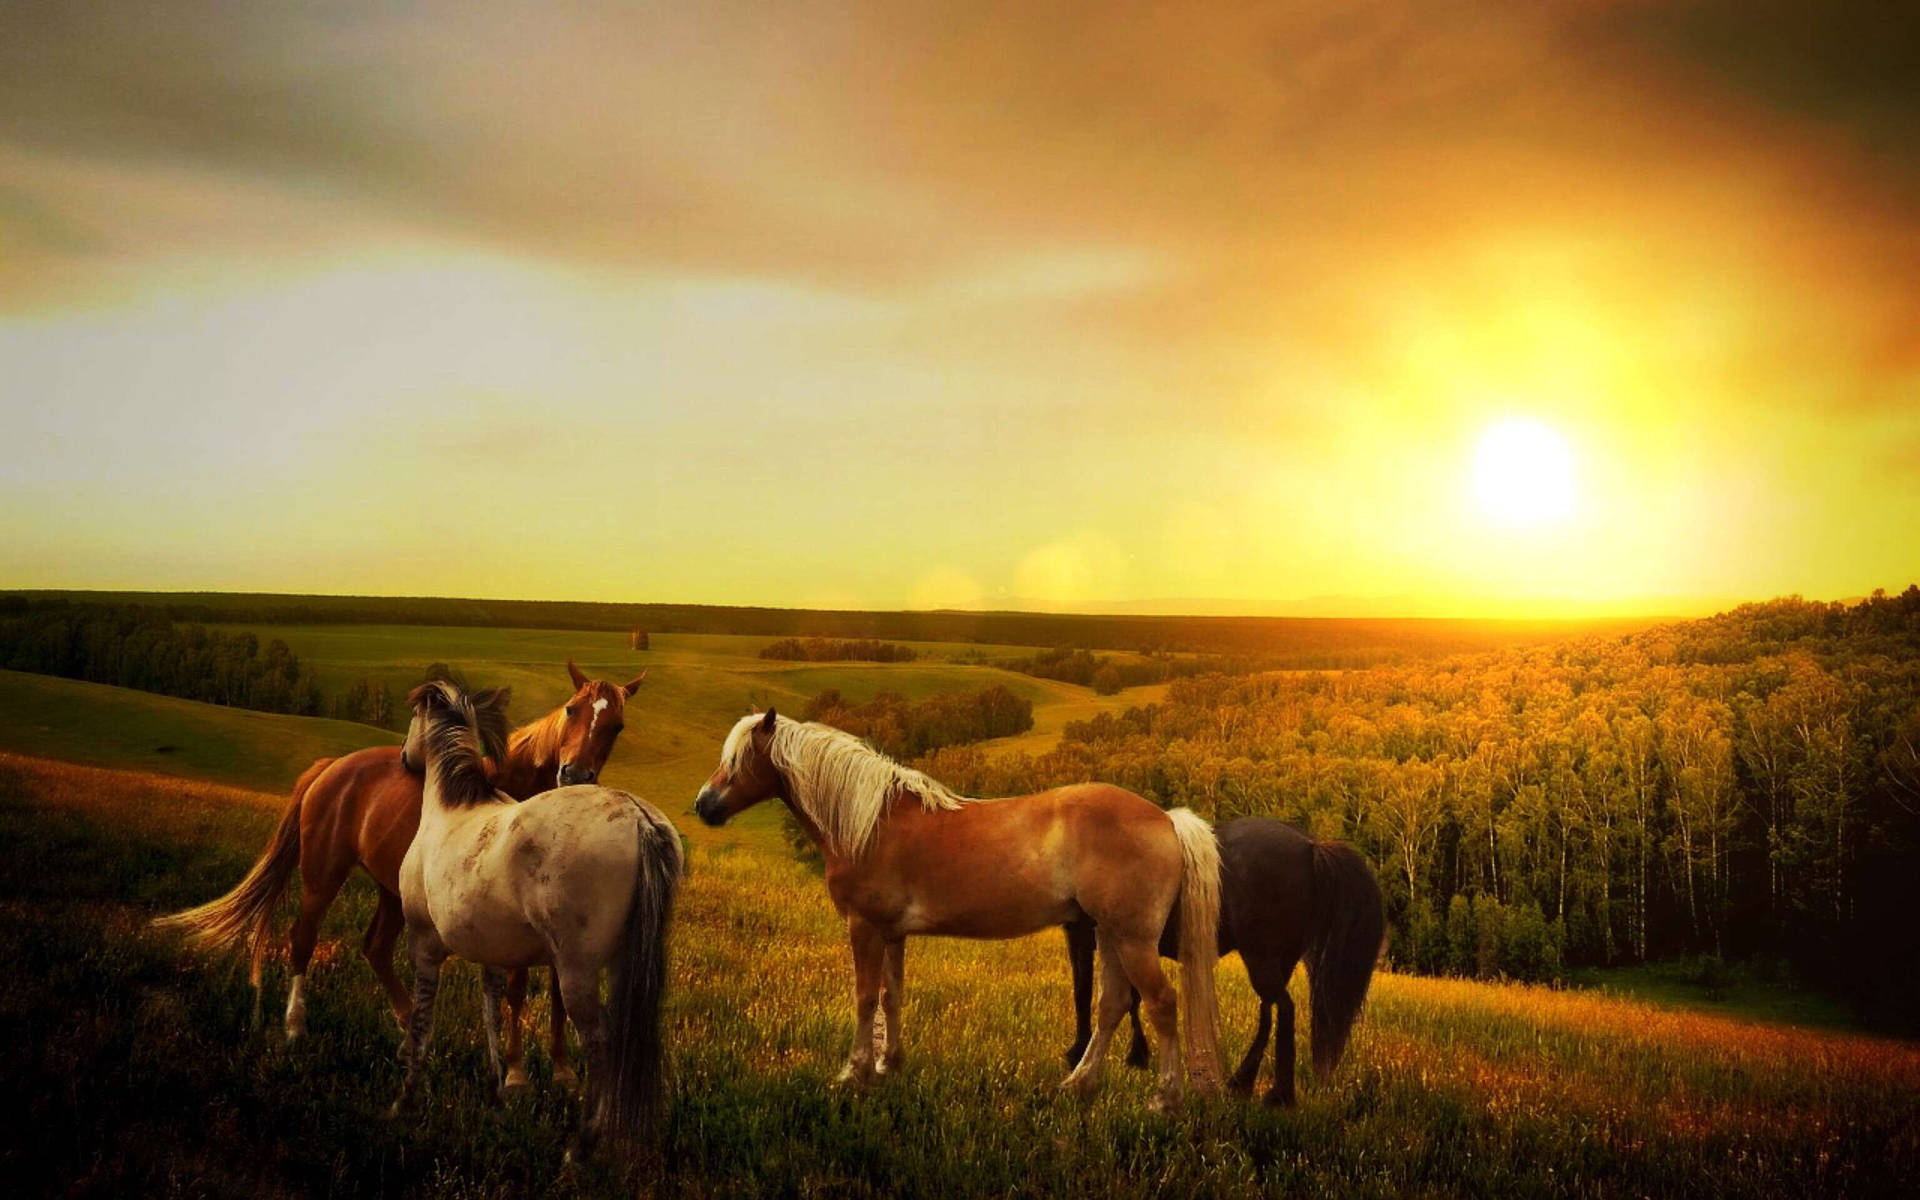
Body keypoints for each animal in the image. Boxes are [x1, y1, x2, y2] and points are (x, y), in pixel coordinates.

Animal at [155, 660, 645, 1090]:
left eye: (617, 726)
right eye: (572, 709)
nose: (573, 774)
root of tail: (332, 766)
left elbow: (558, 990)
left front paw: (563, 1072)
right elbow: (518, 988)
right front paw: (516, 1074)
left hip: (391, 892)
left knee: (375, 947)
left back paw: (413, 1032)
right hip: (322, 874)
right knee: (303, 938)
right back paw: (296, 1027)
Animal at [391, 679, 691, 1159]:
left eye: (413, 718)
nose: (405, 757)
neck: (451, 809)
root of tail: (638, 818)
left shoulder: (424, 946)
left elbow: (421, 1024)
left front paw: (405, 1100)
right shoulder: (493, 958)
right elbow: (493, 1018)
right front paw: (498, 1096)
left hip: (576, 973)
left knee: (599, 1041)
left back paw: (582, 1146)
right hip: (625, 965)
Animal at [698, 706, 1221, 1105]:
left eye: (740, 759)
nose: (704, 805)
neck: (871, 823)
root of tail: (1166, 819)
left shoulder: (864, 927)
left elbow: (865, 997)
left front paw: (854, 1073)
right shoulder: (892, 932)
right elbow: (891, 995)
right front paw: (889, 1065)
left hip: (1133, 939)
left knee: (1162, 1004)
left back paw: (1165, 1098)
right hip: (1107, 933)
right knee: (1112, 1005)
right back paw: (1077, 1084)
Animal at [1067, 814, 1382, 1105]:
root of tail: (1311, 846)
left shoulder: (1087, 936)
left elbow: (1085, 992)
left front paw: (1079, 1053)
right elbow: (1130, 998)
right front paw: (1136, 1054)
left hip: (1261, 957)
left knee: (1284, 1008)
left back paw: (1278, 1094)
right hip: (1278, 961)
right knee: (1268, 1010)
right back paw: (1242, 1082)